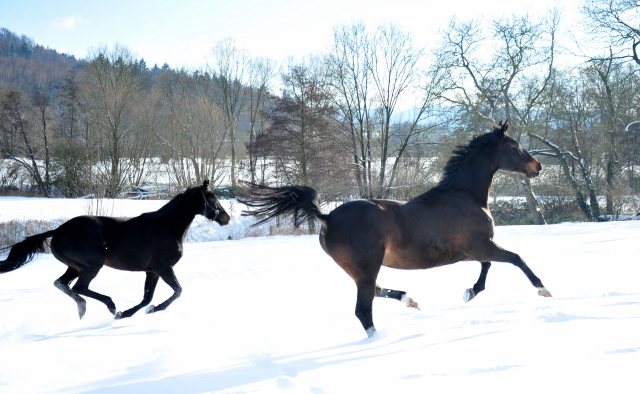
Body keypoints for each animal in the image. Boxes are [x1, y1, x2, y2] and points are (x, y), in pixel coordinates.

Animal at [0, 182, 230, 320]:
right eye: (212, 199)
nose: (226, 218)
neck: (167, 227)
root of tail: (58, 231)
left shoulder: (152, 272)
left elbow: (147, 298)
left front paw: (127, 313)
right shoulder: (163, 269)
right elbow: (177, 291)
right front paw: (150, 310)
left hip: (75, 267)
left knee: (62, 284)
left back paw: (84, 310)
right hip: (91, 266)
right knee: (79, 288)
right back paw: (107, 305)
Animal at [239, 121, 552, 338]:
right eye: (516, 146)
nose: (538, 166)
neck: (465, 196)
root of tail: (327, 217)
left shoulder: (475, 250)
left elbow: (487, 269)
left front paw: (469, 292)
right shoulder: (481, 245)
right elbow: (516, 259)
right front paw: (543, 290)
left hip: (361, 270)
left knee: (377, 292)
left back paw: (410, 300)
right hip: (367, 267)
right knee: (363, 309)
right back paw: (378, 339)